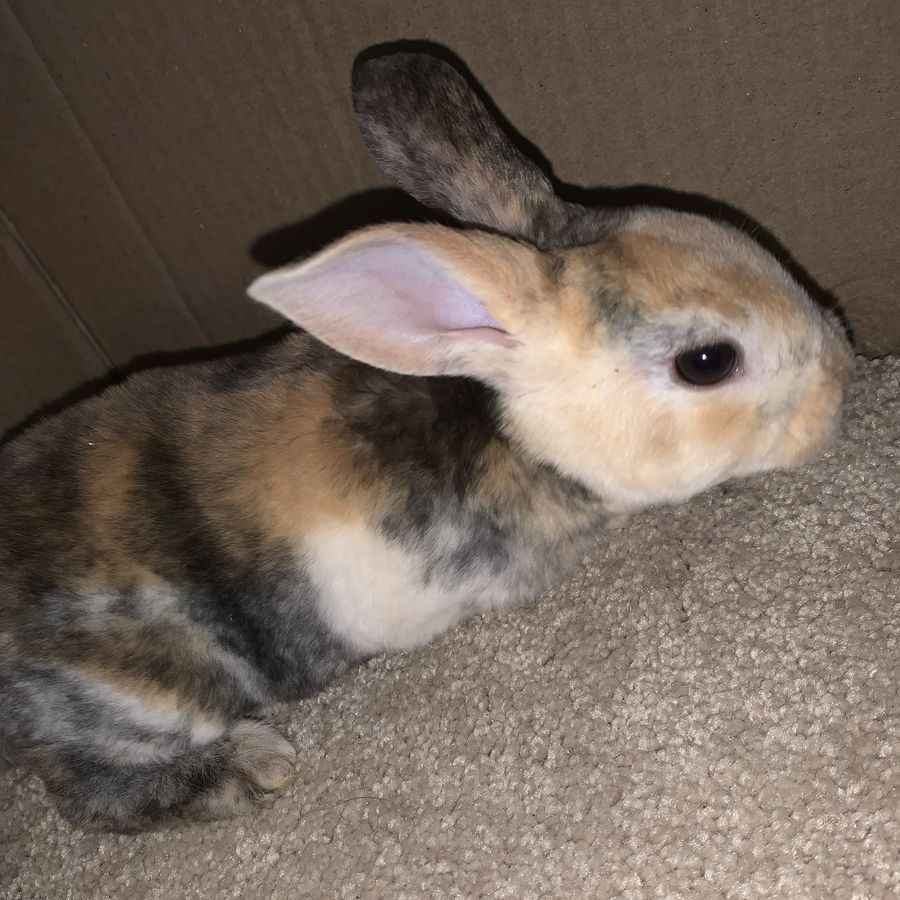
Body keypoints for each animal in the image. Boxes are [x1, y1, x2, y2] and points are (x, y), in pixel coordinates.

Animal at [0, 50, 853, 832]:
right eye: (707, 363)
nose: (842, 385)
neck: (511, 428)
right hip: (147, 696)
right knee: (89, 796)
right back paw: (254, 766)